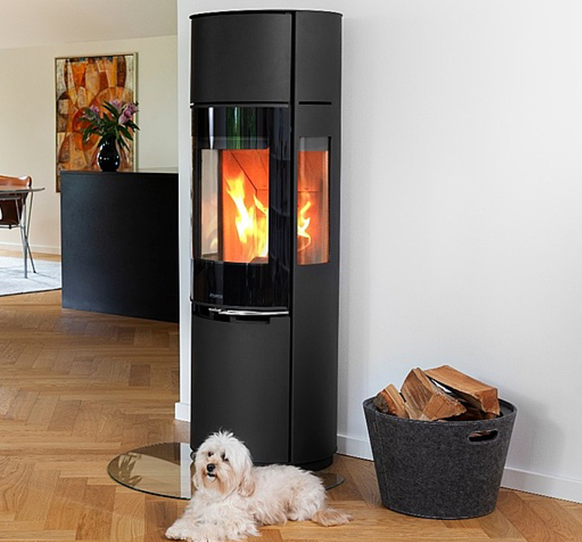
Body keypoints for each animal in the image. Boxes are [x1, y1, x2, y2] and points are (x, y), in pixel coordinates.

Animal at [165, 431, 351, 541]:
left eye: (225, 458)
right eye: (210, 454)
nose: (210, 466)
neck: (219, 493)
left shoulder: (236, 522)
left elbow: (209, 527)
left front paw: (191, 533)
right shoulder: (197, 511)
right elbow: (187, 520)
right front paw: (177, 529)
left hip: (300, 500)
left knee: (303, 513)